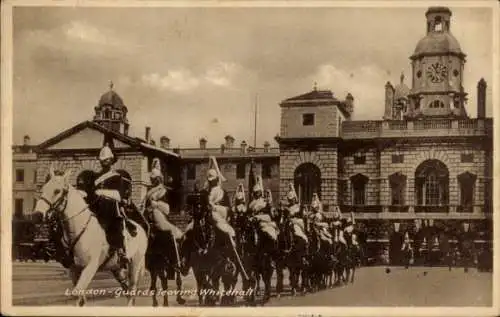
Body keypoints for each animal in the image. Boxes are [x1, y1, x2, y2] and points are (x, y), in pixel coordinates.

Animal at [32, 167, 146, 304]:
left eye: (57, 191)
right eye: (43, 188)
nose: (37, 215)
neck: (78, 229)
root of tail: (139, 227)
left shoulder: (90, 267)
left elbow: (77, 293)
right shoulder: (73, 269)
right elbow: (80, 298)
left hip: (135, 265)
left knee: (132, 290)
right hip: (116, 268)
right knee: (127, 289)